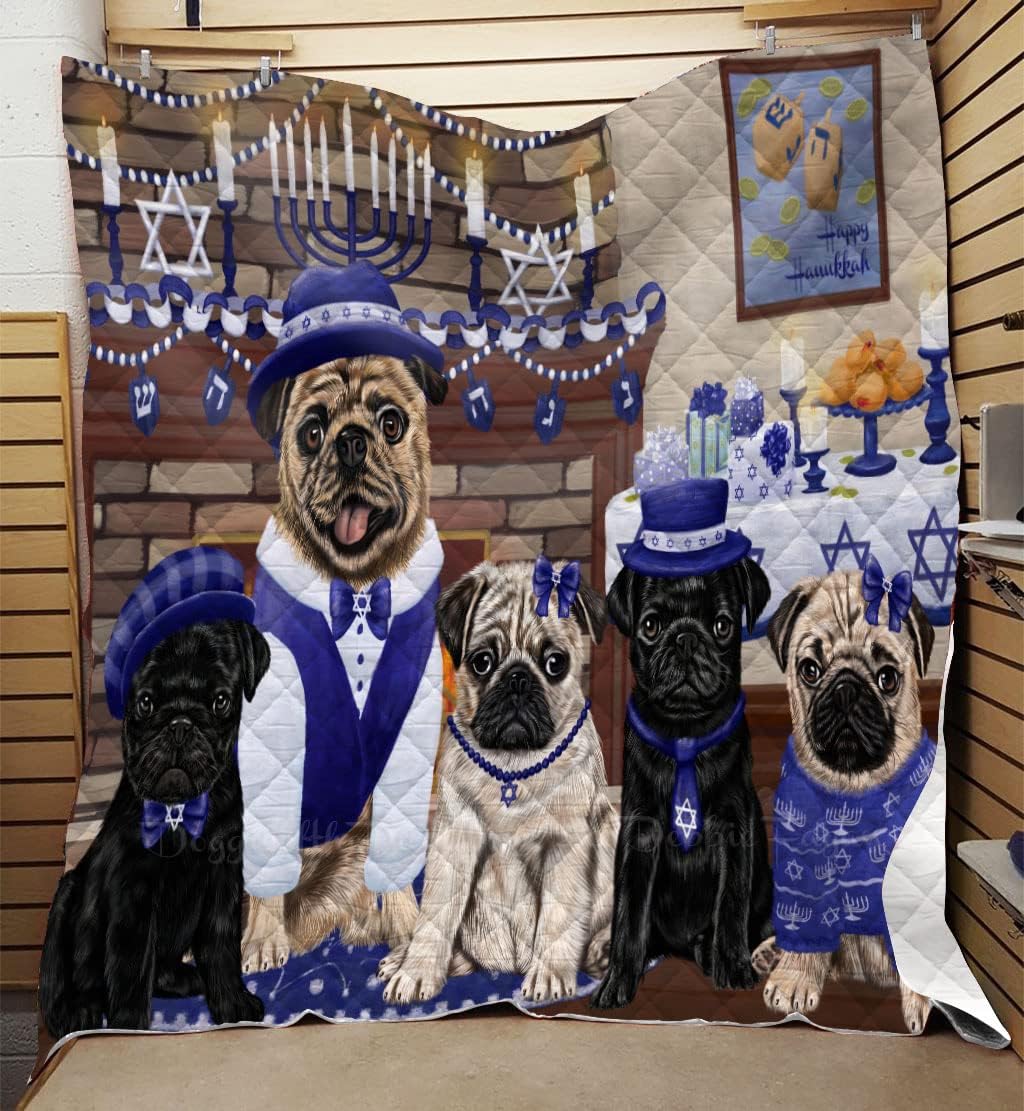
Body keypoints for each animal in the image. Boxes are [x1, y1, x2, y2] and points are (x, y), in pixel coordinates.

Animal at [40, 607, 269, 1037]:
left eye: (220, 701)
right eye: (145, 703)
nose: (179, 723)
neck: (176, 810)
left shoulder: (223, 878)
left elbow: (221, 944)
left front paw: (232, 1005)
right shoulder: (133, 891)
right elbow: (130, 966)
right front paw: (130, 1027)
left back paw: (182, 977)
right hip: (65, 896)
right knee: (62, 976)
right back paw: (76, 1012)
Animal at [238, 264, 449, 972]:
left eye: (391, 422)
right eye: (311, 431)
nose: (352, 440)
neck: (355, 591)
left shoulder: (408, 747)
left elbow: (399, 850)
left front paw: (408, 931)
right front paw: (263, 940)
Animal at [380, 558, 618, 1004]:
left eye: (555, 663)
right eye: (482, 662)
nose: (518, 678)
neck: (512, 764)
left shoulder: (567, 844)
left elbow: (558, 918)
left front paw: (549, 975)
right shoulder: (455, 840)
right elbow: (436, 915)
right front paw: (417, 970)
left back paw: (604, 949)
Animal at [591, 479, 773, 1008]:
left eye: (722, 625)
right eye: (651, 626)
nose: (686, 639)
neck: (685, 733)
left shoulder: (735, 830)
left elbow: (730, 905)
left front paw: (733, 965)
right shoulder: (639, 833)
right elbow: (629, 911)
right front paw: (620, 978)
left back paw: (717, 952)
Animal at [757, 564, 936, 1033]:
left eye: (888, 677)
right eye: (810, 669)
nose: (845, 689)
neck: (853, 788)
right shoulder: (802, 869)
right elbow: (806, 928)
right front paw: (794, 977)